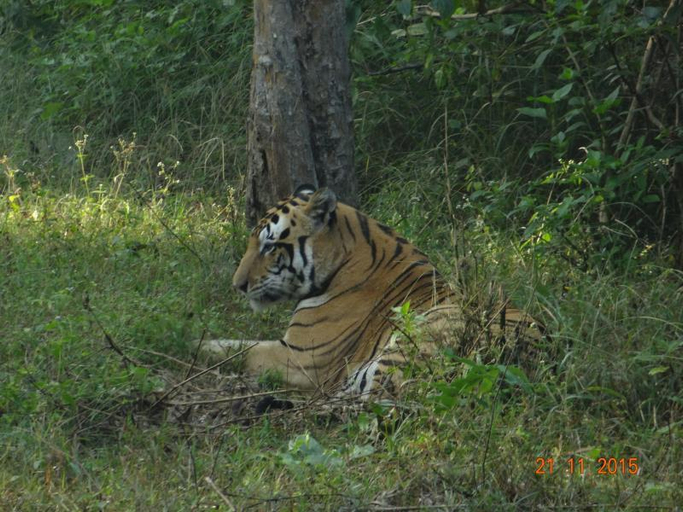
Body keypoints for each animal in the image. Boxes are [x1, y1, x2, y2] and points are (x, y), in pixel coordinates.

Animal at [200, 184, 544, 398]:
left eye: (270, 246)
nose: (237, 285)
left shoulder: (301, 359)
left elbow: (234, 349)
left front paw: (189, 343)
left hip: (415, 339)